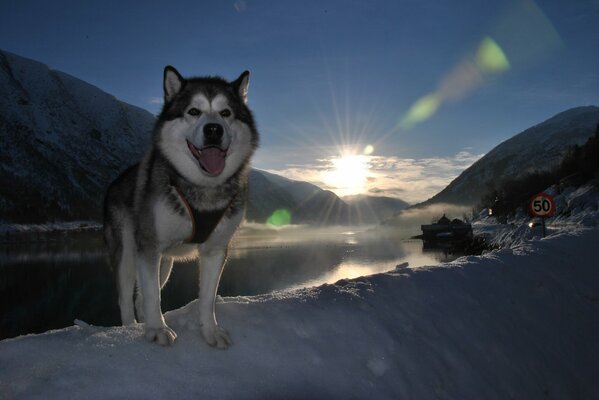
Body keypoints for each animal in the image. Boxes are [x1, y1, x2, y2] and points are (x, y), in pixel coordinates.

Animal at [104, 66, 258, 346]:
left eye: (226, 113)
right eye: (193, 111)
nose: (213, 129)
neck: (202, 187)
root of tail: (115, 183)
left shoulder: (216, 248)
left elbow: (207, 299)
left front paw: (210, 332)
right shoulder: (149, 245)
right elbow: (153, 295)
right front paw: (157, 330)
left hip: (164, 263)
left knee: (141, 297)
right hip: (128, 252)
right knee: (126, 297)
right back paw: (130, 328)